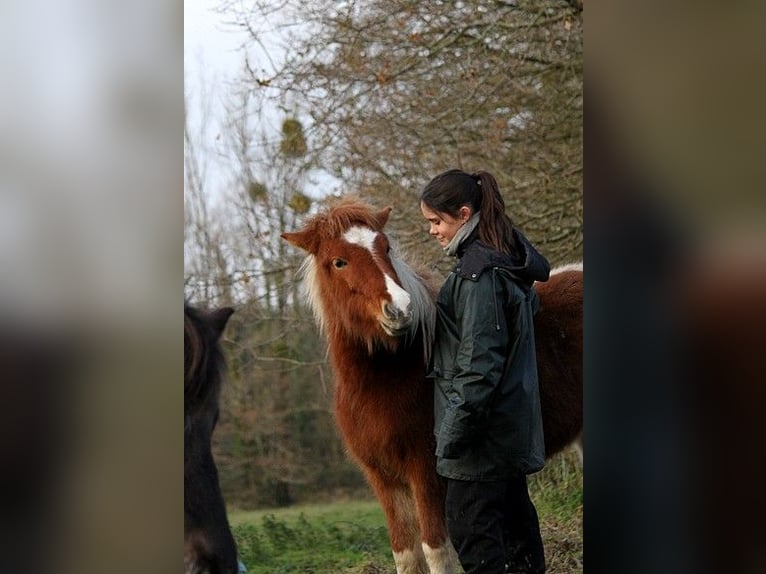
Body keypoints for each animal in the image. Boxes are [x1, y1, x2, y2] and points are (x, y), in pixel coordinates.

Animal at [282, 199, 584, 574]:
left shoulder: (425, 472)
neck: (388, 378)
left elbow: (436, 550)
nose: (399, 310)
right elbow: (406, 553)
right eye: (338, 262)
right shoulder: (383, 480)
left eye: (386, 248)